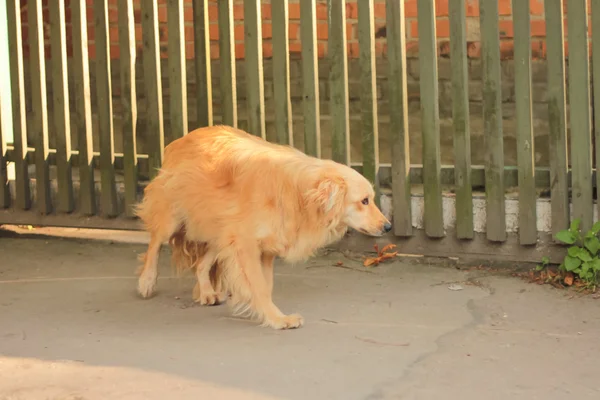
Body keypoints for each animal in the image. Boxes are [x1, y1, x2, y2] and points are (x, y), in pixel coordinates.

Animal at [134, 126, 392, 328]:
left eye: (371, 199)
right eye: (364, 201)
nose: (388, 227)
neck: (299, 193)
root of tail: (183, 138)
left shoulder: (264, 250)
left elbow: (266, 286)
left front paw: (267, 314)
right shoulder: (245, 246)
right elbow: (258, 286)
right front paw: (278, 319)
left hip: (222, 234)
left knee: (201, 263)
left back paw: (206, 291)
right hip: (173, 217)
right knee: (154, 243)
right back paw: (147, 281)